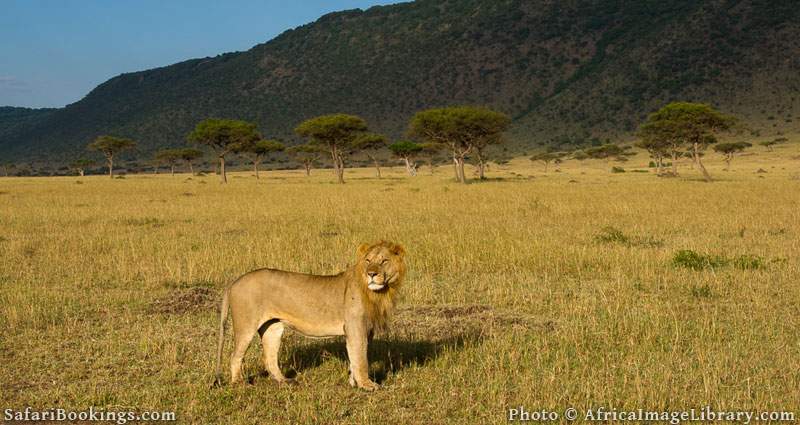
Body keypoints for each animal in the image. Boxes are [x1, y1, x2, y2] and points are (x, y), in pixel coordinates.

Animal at [214, 240, 406, 390]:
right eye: (368, 260)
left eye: (384, 261)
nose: (371, 274)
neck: (379, 293)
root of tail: (234, 282)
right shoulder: (355, 327)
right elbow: (361, 358)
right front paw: (367, 385)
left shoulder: (366, 330)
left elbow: (356, 356)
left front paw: (353, 382)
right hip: (246, 326)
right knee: (235, 356)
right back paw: (239, 384)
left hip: (272, 327)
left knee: (269, 358)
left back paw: (285, 381)